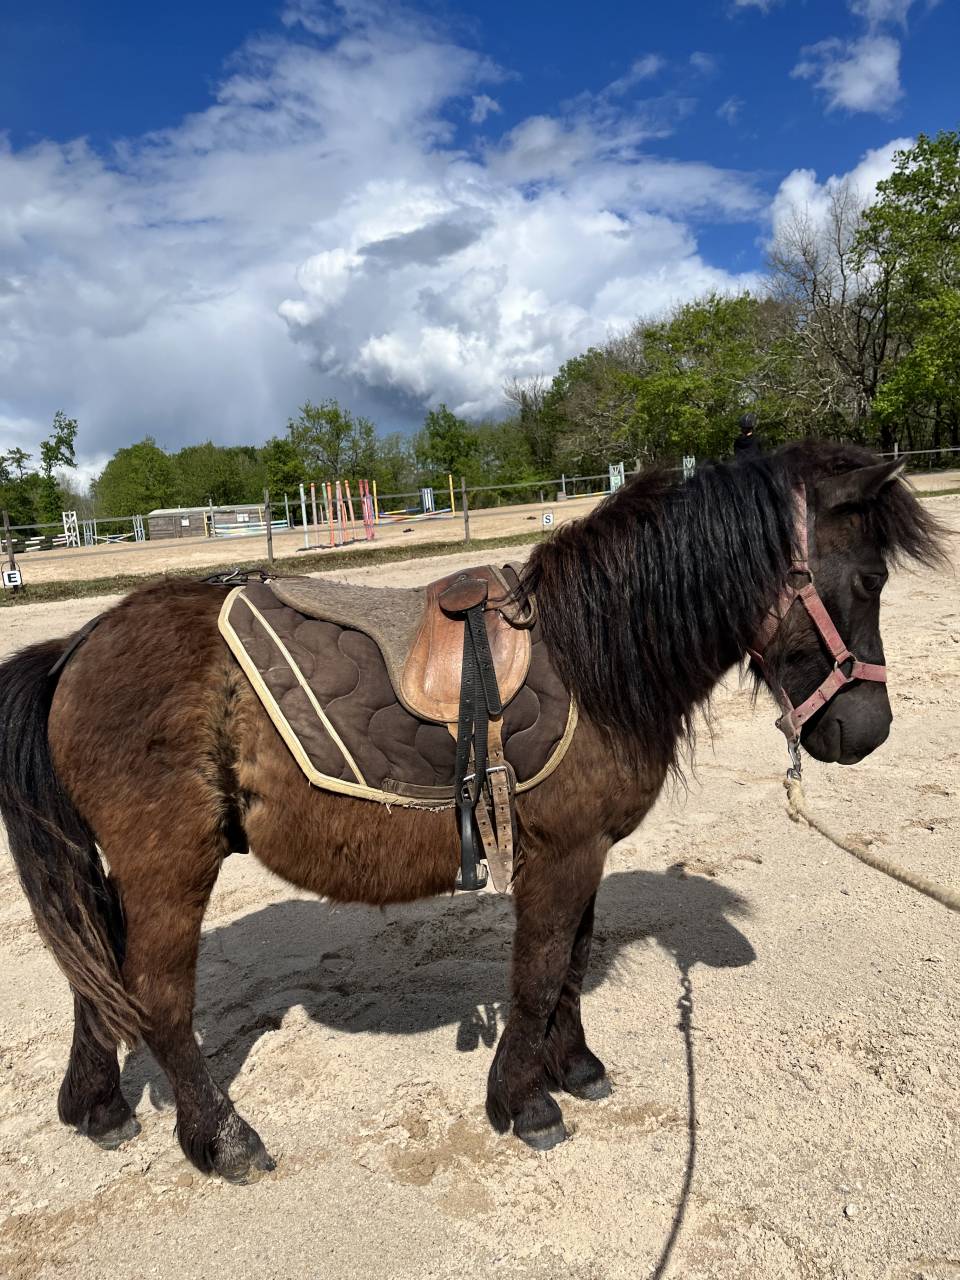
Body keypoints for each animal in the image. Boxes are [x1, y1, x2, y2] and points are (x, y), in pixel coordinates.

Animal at [0, 442, 945, 1183]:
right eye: (868, 577)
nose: (867, 731)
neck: (596, 655)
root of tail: (75, 647)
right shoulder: (561, 852)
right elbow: (538, 973)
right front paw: (524, 1105)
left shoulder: (585, 852)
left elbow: (571, 964)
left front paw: (575, 1067)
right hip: (171, 864)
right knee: (156, 995)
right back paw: (223, 1140)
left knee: (97, 975)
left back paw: (99, 1108)